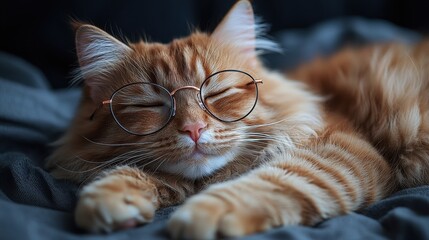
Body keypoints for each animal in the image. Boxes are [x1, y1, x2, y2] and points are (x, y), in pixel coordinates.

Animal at [46, 0, 428, 239]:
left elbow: (273, 183)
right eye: (150, 104)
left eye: (217, 93)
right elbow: (138, 172)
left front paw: (202, 214)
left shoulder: (340, 149)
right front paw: (110, 196)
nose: (194, 128)